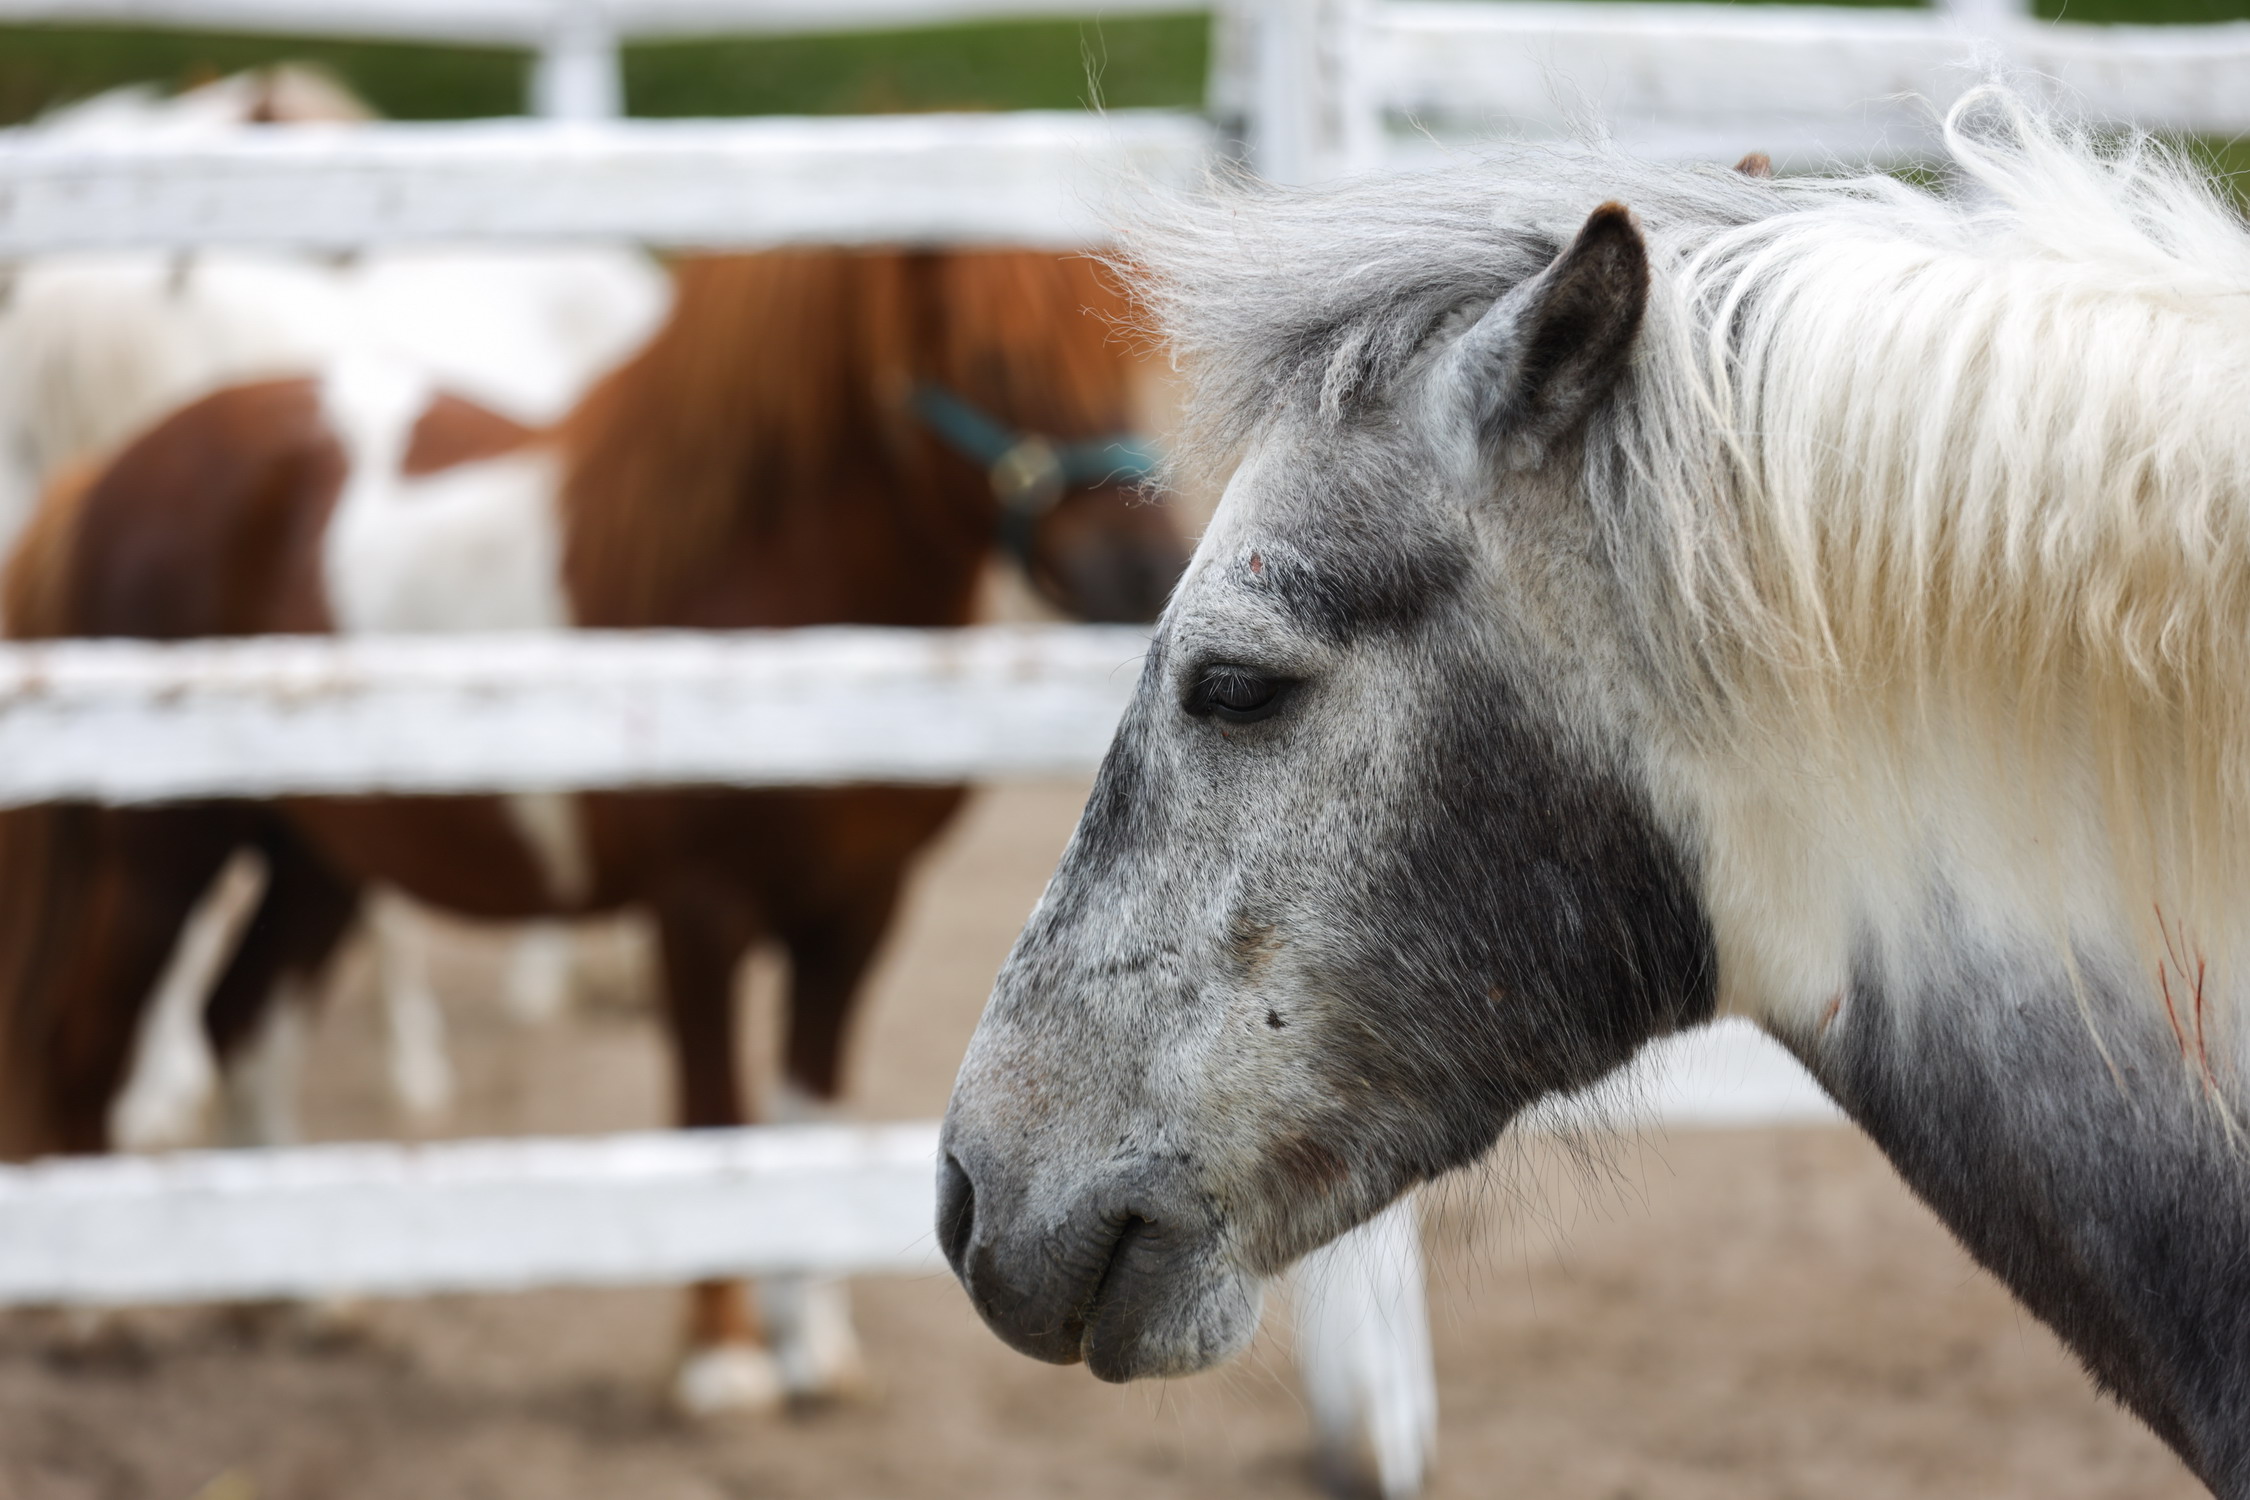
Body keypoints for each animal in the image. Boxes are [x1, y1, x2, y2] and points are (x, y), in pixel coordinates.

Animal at [0, 244, 1188, 1412]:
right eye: (992, 360)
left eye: (1121, 353)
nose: (1144, 571)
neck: (753, 594)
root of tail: (106, 475)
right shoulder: (699, 910)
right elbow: (716, 1119)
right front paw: (724, 1361)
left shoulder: (858, 910)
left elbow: (805, 1114)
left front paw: (813, 1351)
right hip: (159, 854)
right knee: (86, 1037)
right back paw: (98, 1316)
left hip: (319, 859)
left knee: (240, 1018)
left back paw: (290, 1298)